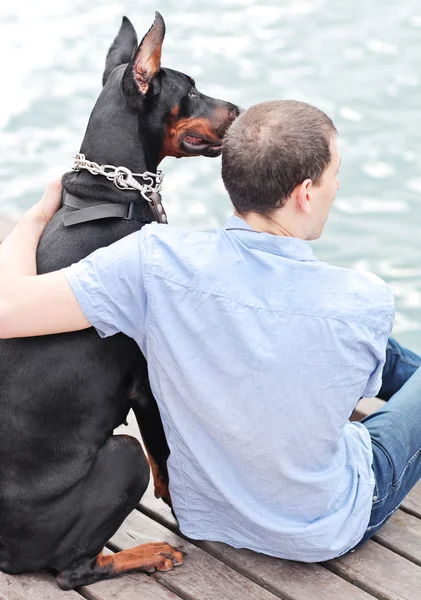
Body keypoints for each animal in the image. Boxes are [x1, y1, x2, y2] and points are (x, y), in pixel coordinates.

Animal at [0, 14, 238, 592]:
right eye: (191, 89)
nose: (241, 109)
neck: (109, 197)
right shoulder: (146, 380)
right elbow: (165, 455)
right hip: (119, 458)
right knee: (73, 569)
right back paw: (150, 553)